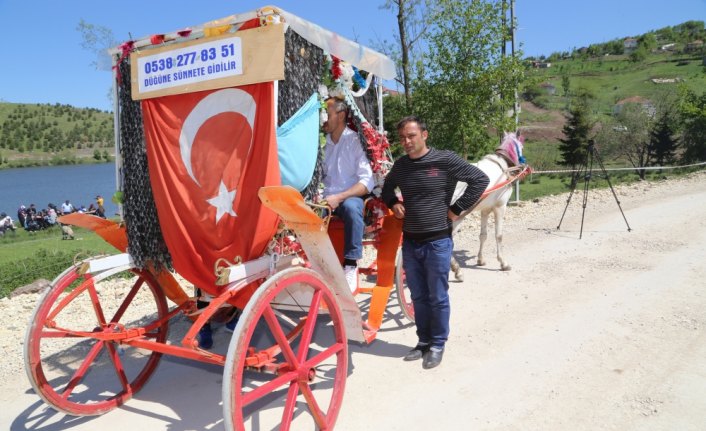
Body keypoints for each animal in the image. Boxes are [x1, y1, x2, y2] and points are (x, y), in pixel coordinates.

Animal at [452, 132, 524, 280]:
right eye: (522, 146)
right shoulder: (500, 207)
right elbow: (499, 235)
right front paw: (503, 263)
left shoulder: (485, 210)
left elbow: (483, 235)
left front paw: (480, 260)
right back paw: (456, 270)